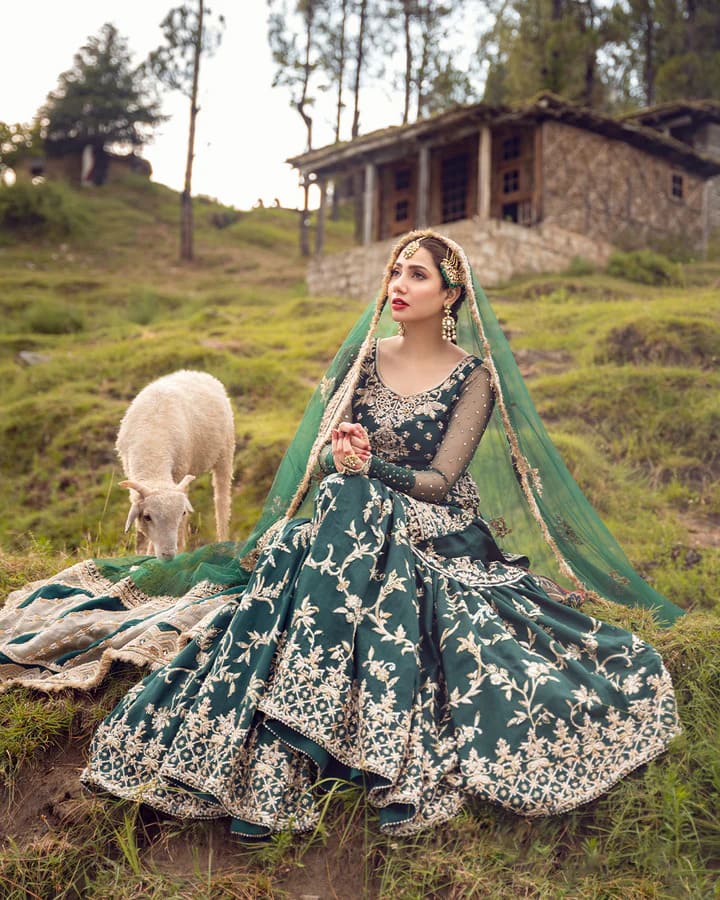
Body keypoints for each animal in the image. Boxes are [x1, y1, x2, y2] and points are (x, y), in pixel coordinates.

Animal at [115, 370, 233, 560]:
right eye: (147, 516)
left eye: (181, 513)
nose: (168, 554)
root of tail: (197, 373)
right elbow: (141, 536)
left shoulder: (179, 471)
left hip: (225, 450)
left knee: (221, 501)